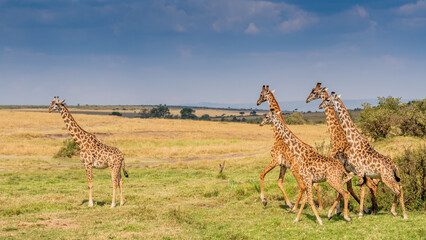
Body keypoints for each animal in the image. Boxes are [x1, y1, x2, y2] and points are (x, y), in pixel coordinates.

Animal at [306, 82, 380, 214]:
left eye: (314, 91)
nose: (307, 100)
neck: (335, 133)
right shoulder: (345, 169)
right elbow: (347, 187)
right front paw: (338, 210)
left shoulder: (340, 166)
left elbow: (343, 188)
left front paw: (337, 210)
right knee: (373, 184)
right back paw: (372, 208)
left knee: (371, 185)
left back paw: (371, 209)